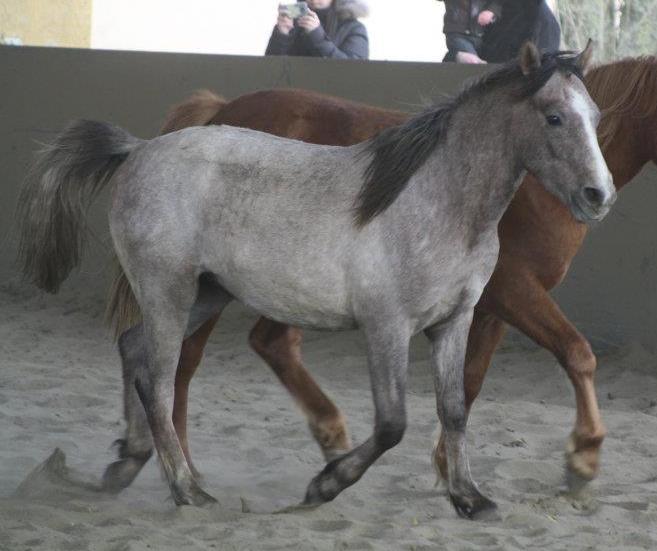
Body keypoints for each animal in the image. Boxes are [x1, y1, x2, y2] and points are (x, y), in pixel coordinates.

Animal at [20, 42, 616, 516]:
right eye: (554, 117)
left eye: (595, 113)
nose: (598, 196)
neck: (438, 202)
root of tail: (138, 149)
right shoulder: (387, 326)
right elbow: (392, 423)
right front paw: (325, 485)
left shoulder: (455, 321)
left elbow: (454, 409)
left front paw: (470, 498)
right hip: (170, 291)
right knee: (160, 381)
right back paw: (188, 490)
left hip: (206, 293)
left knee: (133, 350)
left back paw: (128, 466)